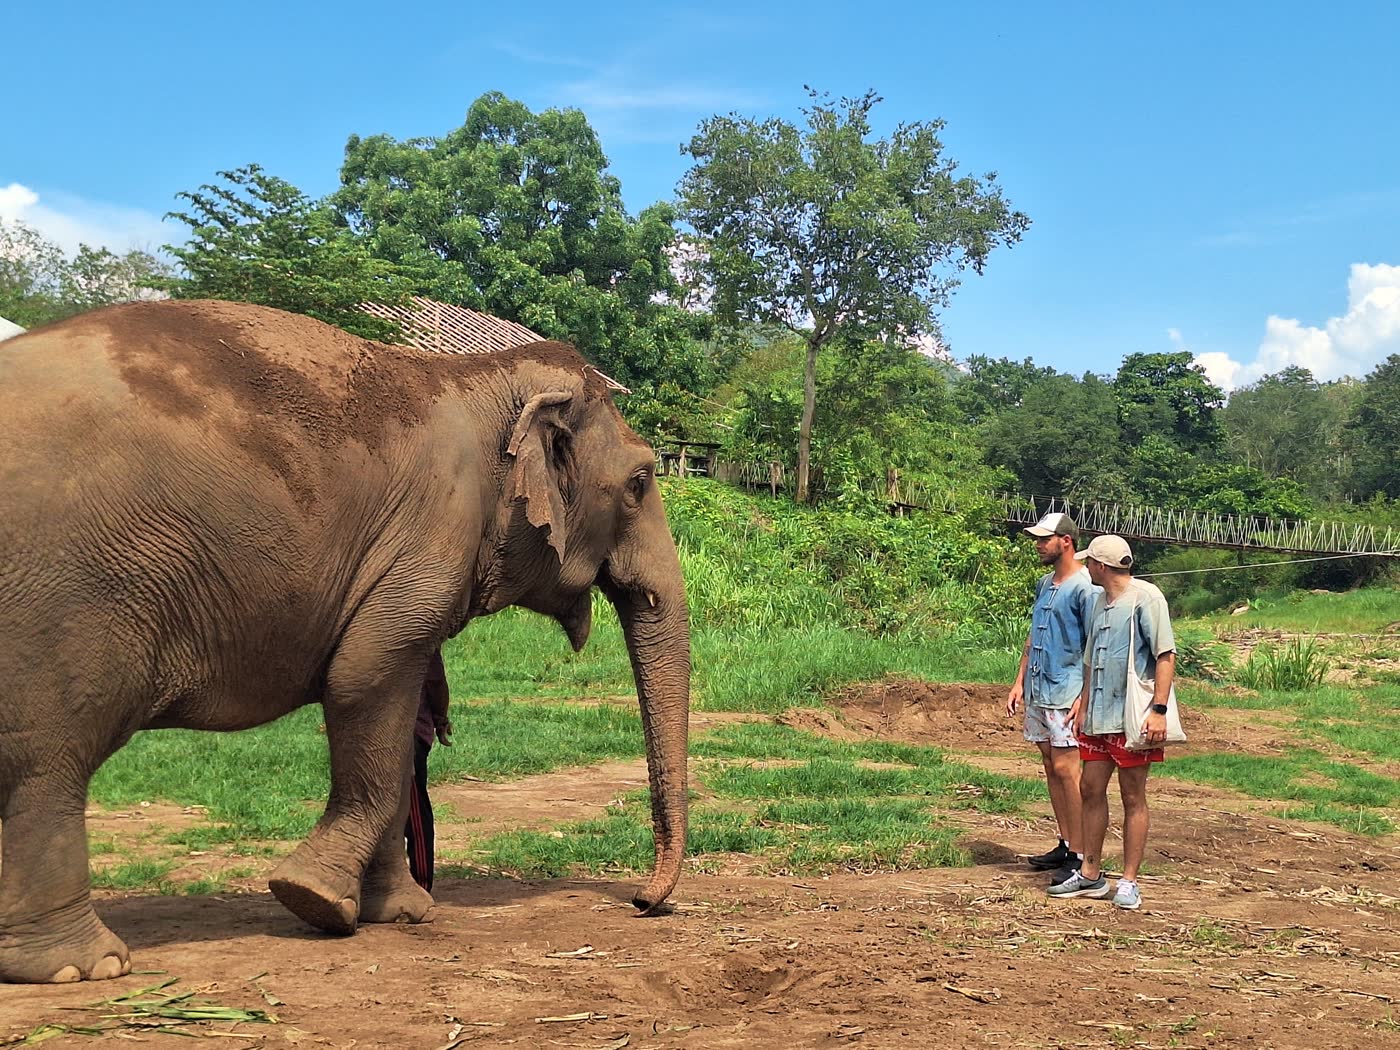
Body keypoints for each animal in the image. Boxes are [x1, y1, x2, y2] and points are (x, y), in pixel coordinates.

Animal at [0, 299, 690, 984]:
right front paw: (316, 900)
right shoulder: (430, 532)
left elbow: (395, 713)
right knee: (51, 758)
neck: (482, 379)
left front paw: (400, 912)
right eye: (640, 482)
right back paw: (84, 967)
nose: (641, 901)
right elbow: (364, 678)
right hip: (68, 600)